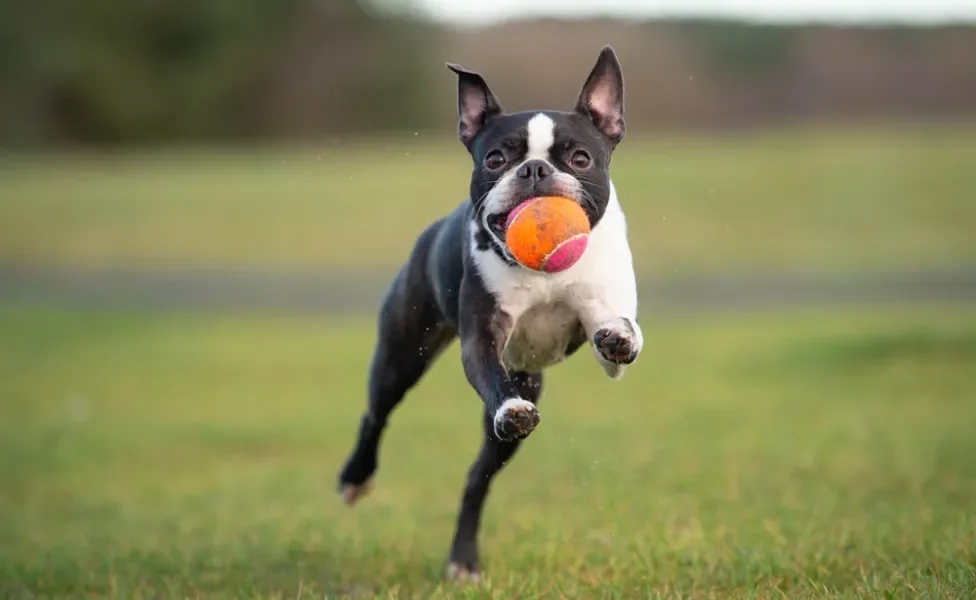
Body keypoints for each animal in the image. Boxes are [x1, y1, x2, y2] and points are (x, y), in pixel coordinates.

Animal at [340, 47, 644, 580]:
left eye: (580, 158)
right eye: (496, 158)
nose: (535, 170)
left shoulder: (606, 318)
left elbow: (619, 334)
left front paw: (619, 337)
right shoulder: (481, 340)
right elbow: (490, 376)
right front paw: (511, 408)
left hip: (515, 401)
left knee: (476, 479)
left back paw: (463, 559)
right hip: (402, 355)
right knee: (376, 413)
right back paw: (357, 477)